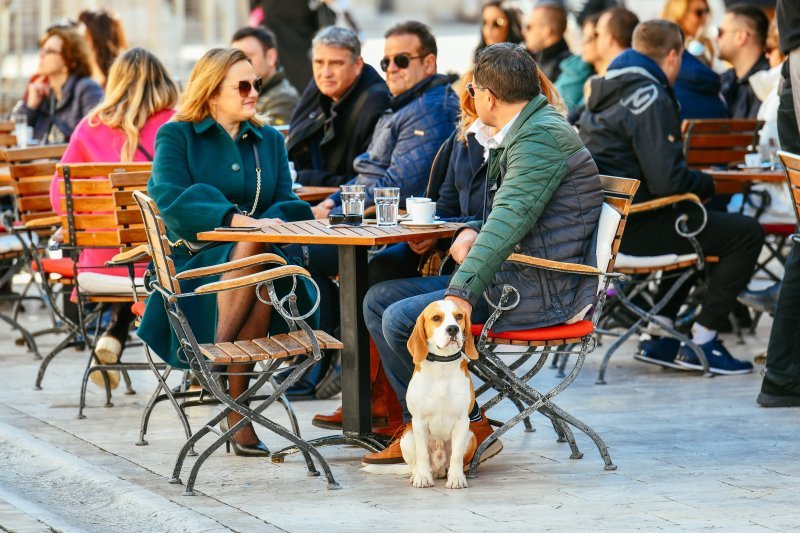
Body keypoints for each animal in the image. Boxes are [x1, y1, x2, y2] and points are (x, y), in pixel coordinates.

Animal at [398, 298, 476, 488]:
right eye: (436, 318)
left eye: (459, 316)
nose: (453, 329)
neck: (442, 365)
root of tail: (439, 468)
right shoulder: (418, 421)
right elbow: (422, 454)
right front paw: (423, 477)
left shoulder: (462, 421)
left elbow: (456, 456)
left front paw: (456, 478)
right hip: (407, 437)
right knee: (415, 464)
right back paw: (417, 475)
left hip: (471, 436)